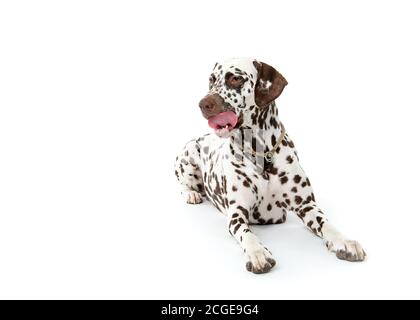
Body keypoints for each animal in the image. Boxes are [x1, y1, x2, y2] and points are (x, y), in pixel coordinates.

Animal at [174, 57, 364, 272]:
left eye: (235, 78)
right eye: (212, 79)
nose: (203, 103)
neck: (261, 155)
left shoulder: (307, 206)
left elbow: (328, 224)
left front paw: (345, 241)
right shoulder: (237, 214)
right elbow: (247, 234)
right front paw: (258, 253)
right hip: (189, 152)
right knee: (183, 184)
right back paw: (191, 194)